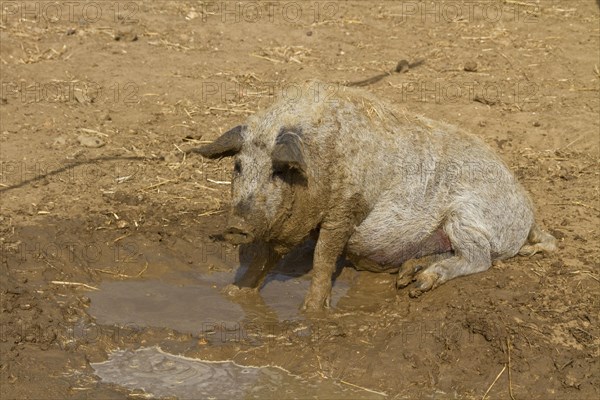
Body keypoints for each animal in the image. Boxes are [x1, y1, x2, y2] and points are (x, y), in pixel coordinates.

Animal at [195, 82, 556, 312]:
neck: (322, 159)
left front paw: (311, 312)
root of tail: (530, 214)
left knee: (479, 259)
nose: (236, 227)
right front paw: (233, 294)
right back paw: (407, 276)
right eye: (238, 166)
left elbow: (323, 257)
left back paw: (420, 285)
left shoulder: (345, 208)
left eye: (277, 171)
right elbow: (264, 257)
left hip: (466, 217)